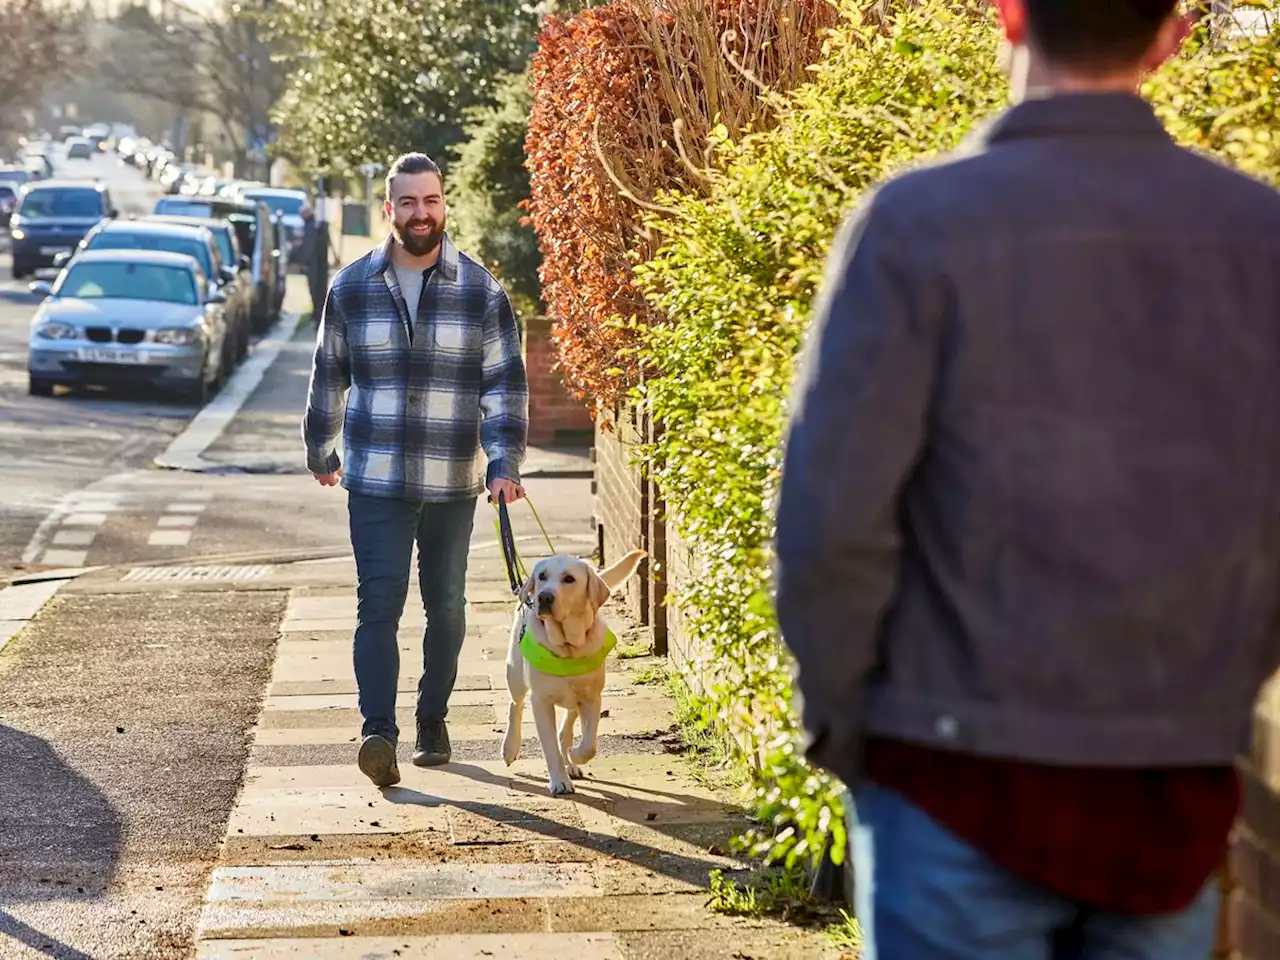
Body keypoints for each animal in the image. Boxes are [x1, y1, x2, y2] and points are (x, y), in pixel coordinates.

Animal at [501, 547, 645, 798]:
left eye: (569, 579)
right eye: (542, 576)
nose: (544, 597)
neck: (568, 647)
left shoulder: (592, 698)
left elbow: (589, 745)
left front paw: (574, 756)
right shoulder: (540, 702)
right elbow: (549, 746)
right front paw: (559, 780)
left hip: (573, 699)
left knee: (566, 727)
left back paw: (570, 760)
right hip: (515, 673)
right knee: (515, 705)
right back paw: (510, 747)